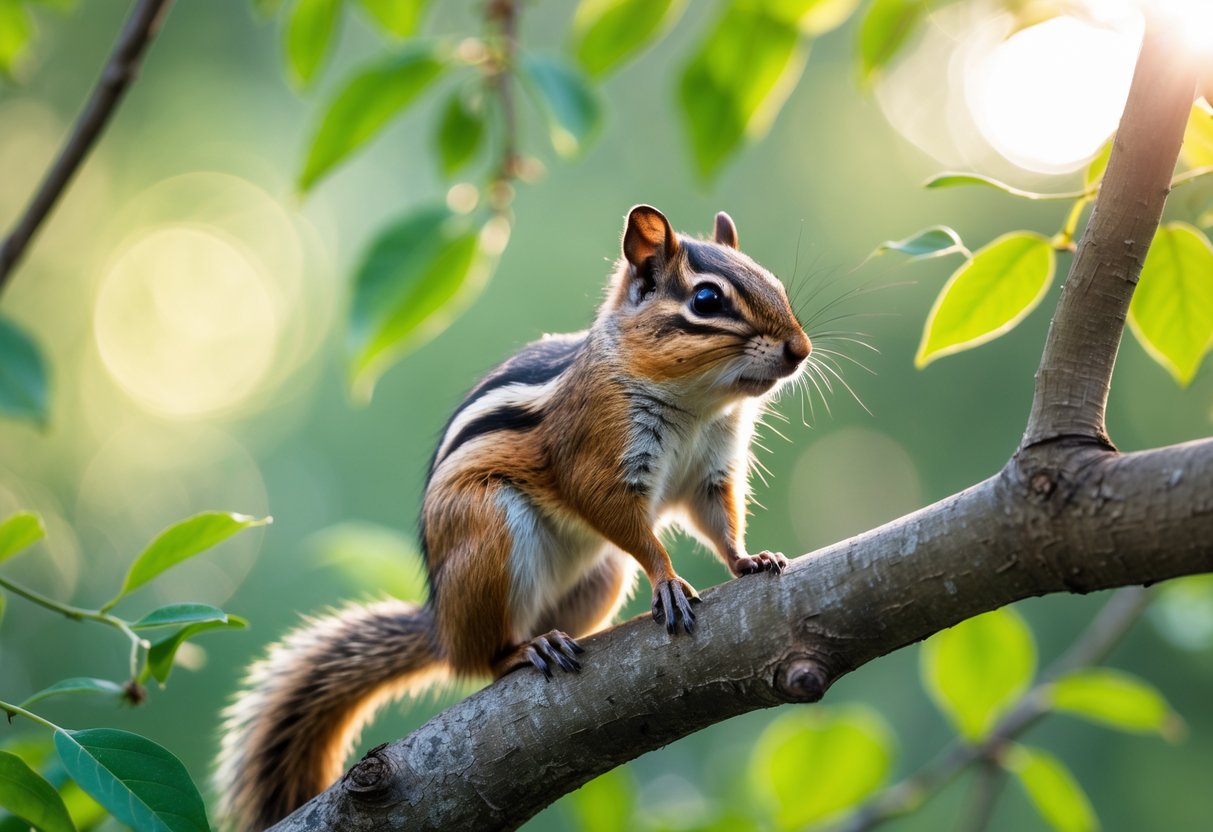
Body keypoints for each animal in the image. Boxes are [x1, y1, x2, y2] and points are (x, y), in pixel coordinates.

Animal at [215, 205, 812, 831]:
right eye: (706, 299)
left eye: (774, 282)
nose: (801, 348)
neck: (698, 407)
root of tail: (442, 628)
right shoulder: (594, 454)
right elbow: (618, 517)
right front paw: (668, 581)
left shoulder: (710, 471)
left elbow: (719, 521)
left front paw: (750, 559)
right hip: (489, 536)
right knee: (483, 660)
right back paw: (527, 649)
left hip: (601, 577)